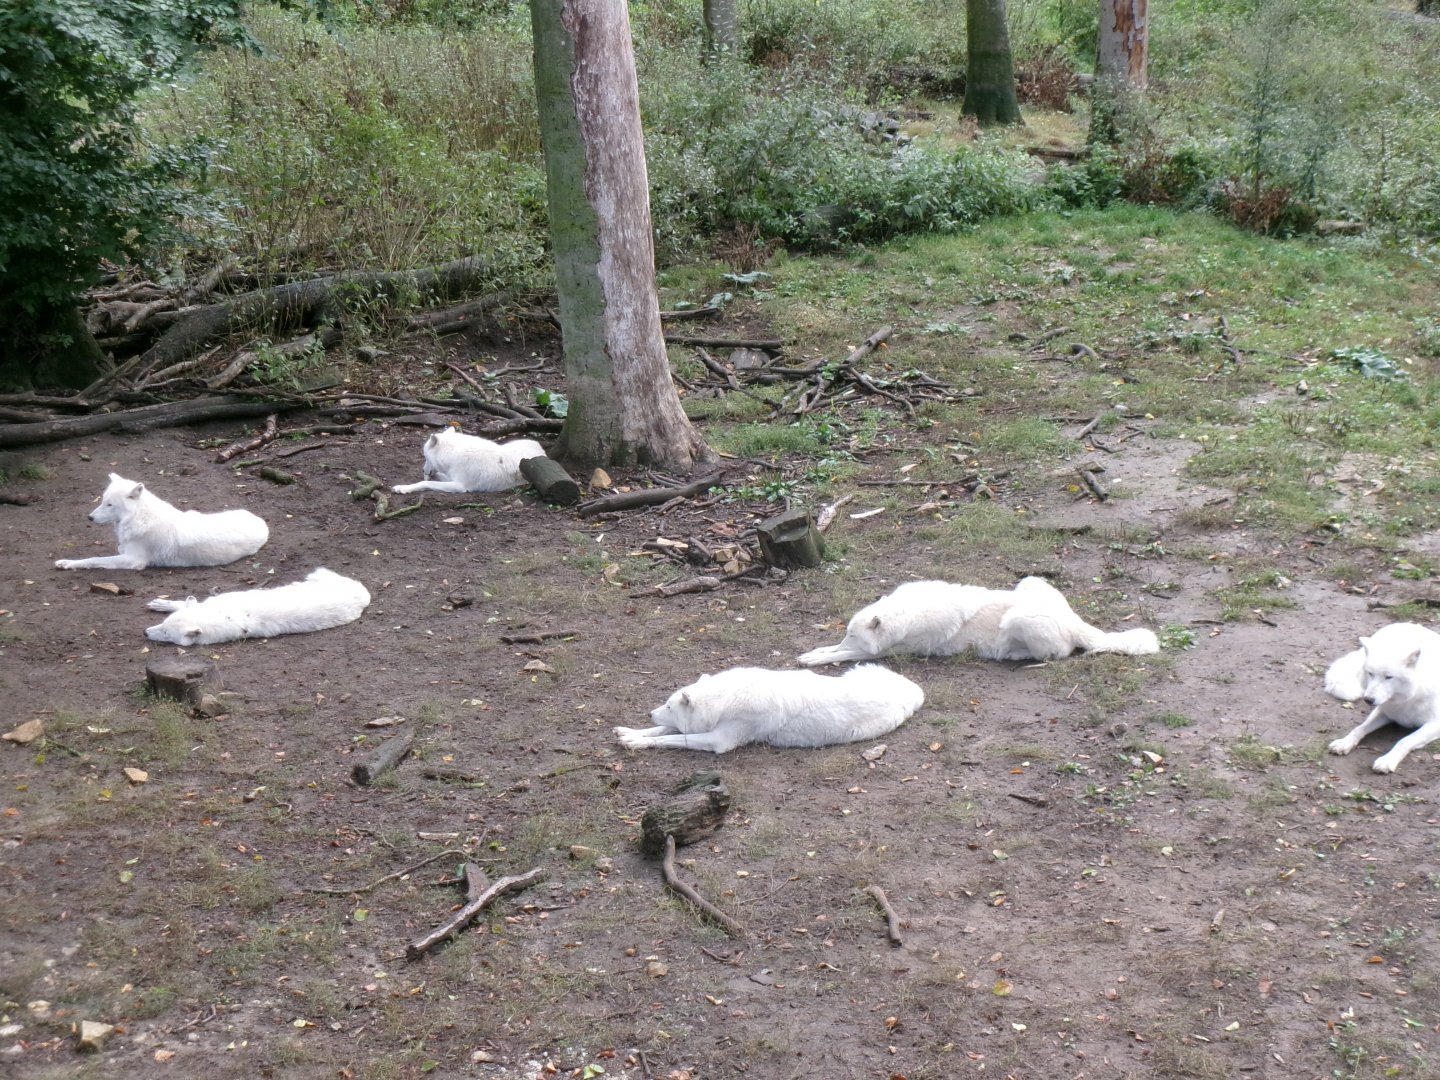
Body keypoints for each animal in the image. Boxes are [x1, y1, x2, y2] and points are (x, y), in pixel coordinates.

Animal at [55, 473, 268, 571]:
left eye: (109, 505)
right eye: (102, 501)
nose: (89, 518)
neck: (138, 518)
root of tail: (262, 523)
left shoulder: (134, 560)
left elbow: (94, 559)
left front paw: (70, 564)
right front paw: (64, 561)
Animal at [144, 568, 371, 646]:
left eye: (165, 633)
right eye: (162, 624)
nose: (145, 633)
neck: (220, 614)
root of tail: (363, 597)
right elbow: (181, 604)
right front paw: (161, 604)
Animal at [392, 427, 547, 494]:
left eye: (425, 457)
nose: (423, 470)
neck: (452, 455)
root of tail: (543, 452)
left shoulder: (459, 486)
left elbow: (426, 483)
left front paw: (403, 488)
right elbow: (437, 477)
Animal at [614, 664, 924, 754]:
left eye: (667, 705)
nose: (649, 712)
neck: (726, 698)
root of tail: (915, 692)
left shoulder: (719, 741)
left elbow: (672, 737)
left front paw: (635, 742)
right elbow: (662, 730)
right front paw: (630, 732)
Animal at [1325, 622, 1440, 774]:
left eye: (1388, 677)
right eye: (1371, 674)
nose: (1368, 700)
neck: (1408, 698)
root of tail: (1405, 624)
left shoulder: (1435, 724)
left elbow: (1404, 741)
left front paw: (1387, 761)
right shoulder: (1384, 711)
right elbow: (1359, 728)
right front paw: (1344, 743)